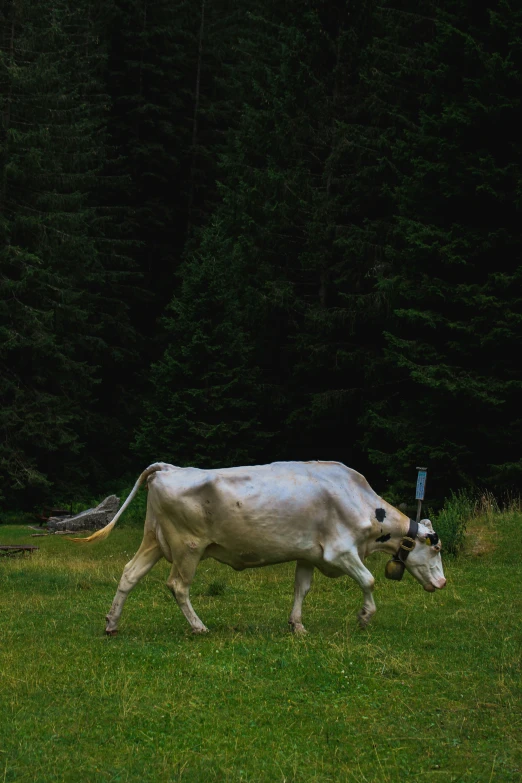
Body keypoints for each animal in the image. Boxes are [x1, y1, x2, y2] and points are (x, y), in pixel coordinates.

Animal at [75, 460, 444, 636]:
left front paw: (297, 626)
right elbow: (368, 580)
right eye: (436, 549)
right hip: (187, 547)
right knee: (178, 585)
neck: (359, 500)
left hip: (154, 540)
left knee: (129, 575)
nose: (441, 583)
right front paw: (364, 617)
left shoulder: (308, 554)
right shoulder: (340, 552)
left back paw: (112, 624)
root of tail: (170, 468)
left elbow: (301, 589)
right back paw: (198, 627)